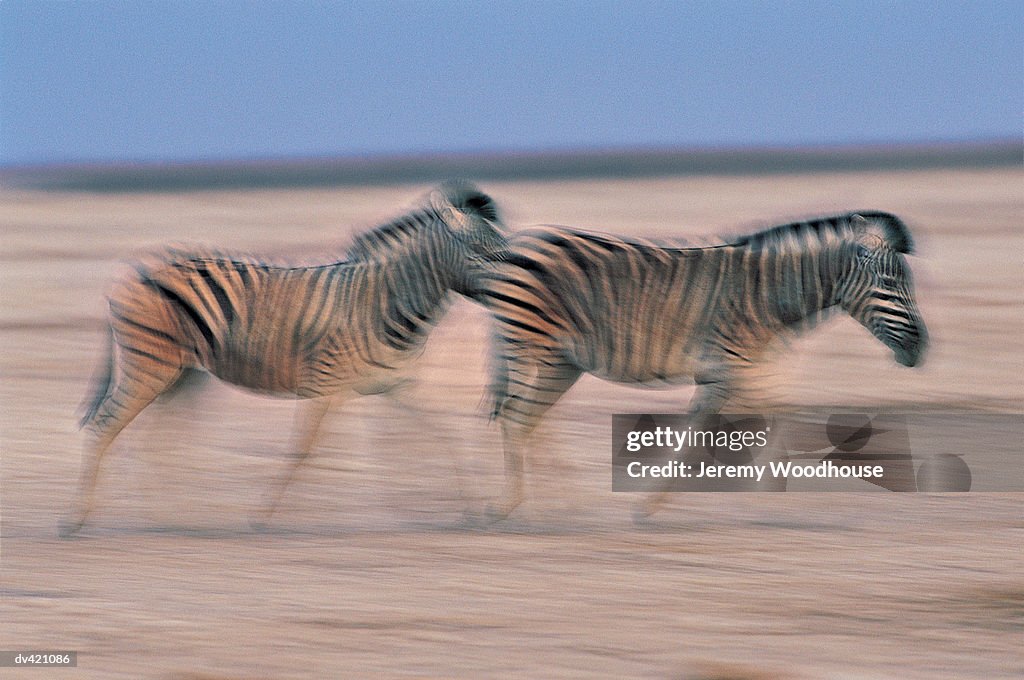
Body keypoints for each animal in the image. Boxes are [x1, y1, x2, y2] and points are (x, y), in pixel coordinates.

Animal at [58, 180, 505, 536]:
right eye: (481, 251)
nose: (510, 285)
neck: (385, 302)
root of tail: (138, 268)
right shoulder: (326, 385)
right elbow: (302, 451)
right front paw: (263, 517)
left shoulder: (395, 384)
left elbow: (447, 435)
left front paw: (473, 512)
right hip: (149, 366)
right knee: (106, 426)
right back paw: (77, 520)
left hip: (181, 374)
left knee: (149, 440)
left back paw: (165, 517)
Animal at [479, 209, 929, 518]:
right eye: (890, 284)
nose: (921, 348)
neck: (769, 293)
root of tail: (518, 241)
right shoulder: (739, 368)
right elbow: (781, 419)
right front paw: (773, 497)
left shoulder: (720, 377)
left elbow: (695, 436)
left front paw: (651, 503)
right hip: (529, 342)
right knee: (516, 415)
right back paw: (511, 506)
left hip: (561, 361)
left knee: (526, 417)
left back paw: (552, 504)